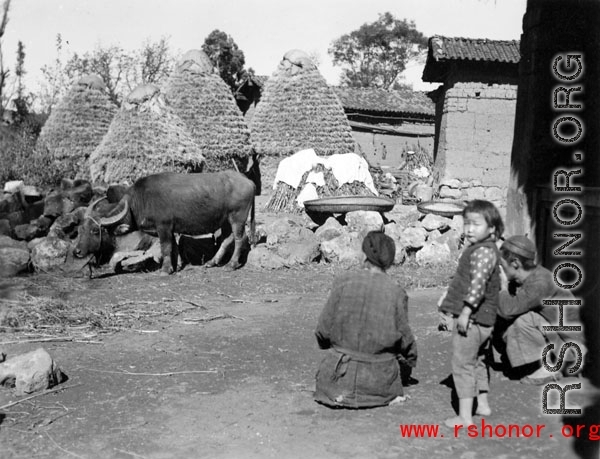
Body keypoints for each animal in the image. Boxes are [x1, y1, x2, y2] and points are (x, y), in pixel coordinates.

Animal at [73, 172, 255, 274]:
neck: (139, 201)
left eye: (95, 231)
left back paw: (232, 264)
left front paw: (166, 269)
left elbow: (166, 247)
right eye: (80, 230)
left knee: (240, 238)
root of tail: (248, 181)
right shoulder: (171, 229)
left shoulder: (164, 227)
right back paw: (212, 262)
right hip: (225, 221)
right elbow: (174, 246)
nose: (77, 251)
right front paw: (178, 265)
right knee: (227, 239)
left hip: (237, 217)